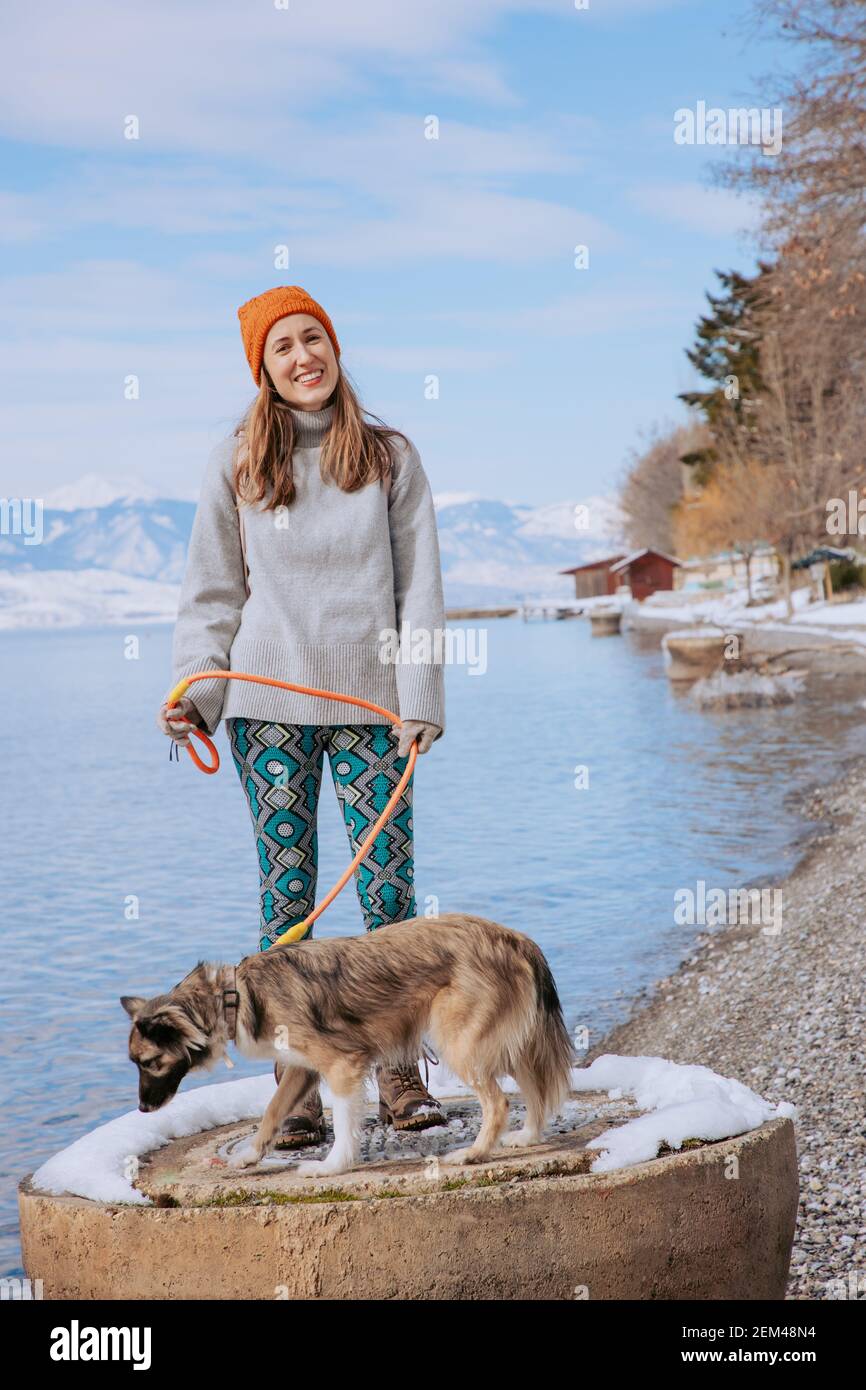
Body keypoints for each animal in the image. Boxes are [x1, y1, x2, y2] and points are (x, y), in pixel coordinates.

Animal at [120, 917, 575, 1178]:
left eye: (150, 1062)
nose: (141, 1109)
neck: (236, 994)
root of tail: (514, 938)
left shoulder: (343, 1065)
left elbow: (342, 1123)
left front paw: (332, 1166)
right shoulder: (301, 1069)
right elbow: (272, 1113)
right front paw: (248, 1158)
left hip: (462, 1044)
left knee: (499, 1103)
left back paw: (474, 1154)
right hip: (509, 1041)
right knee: (535, 1091)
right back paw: (527, 1137)